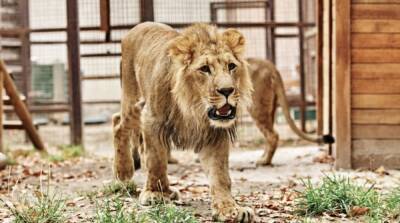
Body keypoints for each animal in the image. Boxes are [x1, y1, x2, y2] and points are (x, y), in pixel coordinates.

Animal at [112, 22, 255, 221]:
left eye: (231, 66)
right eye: (205, 68)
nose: (227, 90)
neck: (193, 107)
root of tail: (137, 27)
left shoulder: (215, 132)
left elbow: (220, 173)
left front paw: (230, 209)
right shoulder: (152, 119)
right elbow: (156, 159)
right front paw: (155, 194)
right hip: (133, 100)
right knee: (119, 124)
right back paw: (123, 174)